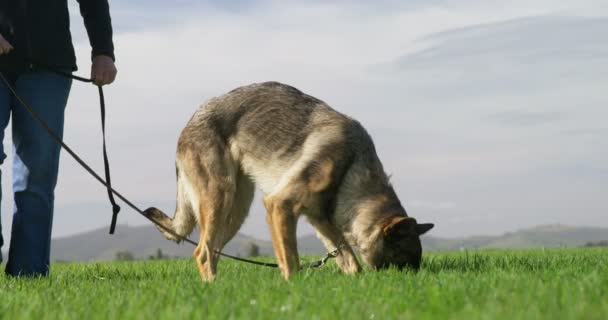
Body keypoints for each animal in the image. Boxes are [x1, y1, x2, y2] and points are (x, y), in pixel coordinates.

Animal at [146, 82, 432, 280]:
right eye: (405, 260)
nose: (413, 280)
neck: (350, 166)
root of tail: (189, 123)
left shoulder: (321, 220)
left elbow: (349, 260)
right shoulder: (279, 205)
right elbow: (291, 259)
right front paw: (293, 289)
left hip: (236, 210)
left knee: (212, 251)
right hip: (219, 199)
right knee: (202, 253)